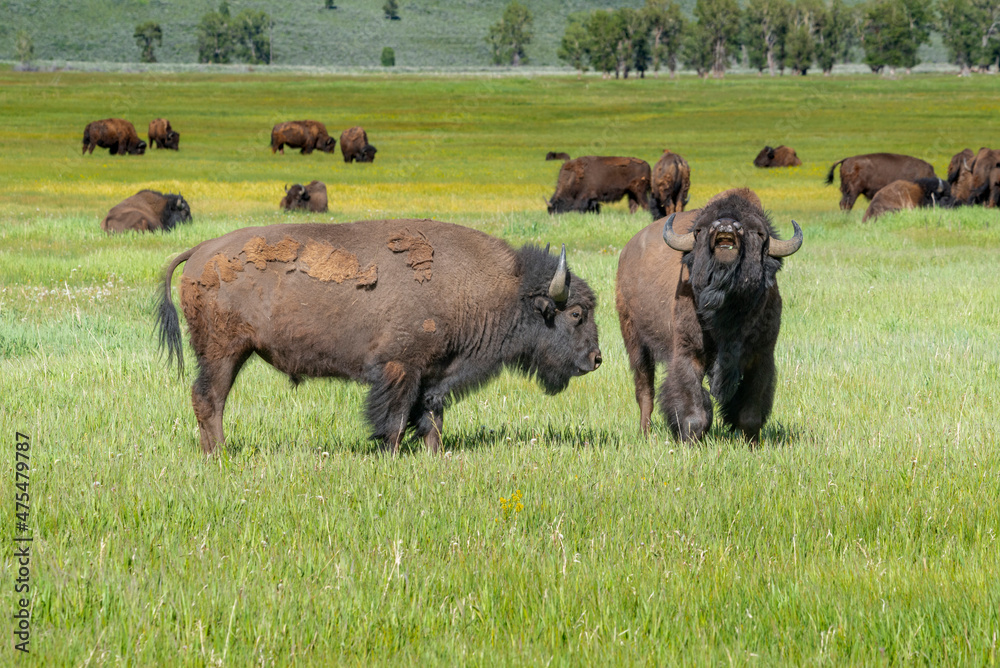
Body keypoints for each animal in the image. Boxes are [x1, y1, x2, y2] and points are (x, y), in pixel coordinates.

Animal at [152, 219, 596, 454]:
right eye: (576, 314)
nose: (596, 359)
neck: (502, 287)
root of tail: (200, 251)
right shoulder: (399, 367)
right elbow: (394, 418)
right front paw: (390, 453)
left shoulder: (434, 375)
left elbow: (431, 417)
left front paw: (433, 455)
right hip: (223, 352)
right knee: (209, 398)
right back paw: (219, 454)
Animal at [612, 188, 800, 444]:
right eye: (699, 230)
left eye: (759, 233)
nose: (726, 226)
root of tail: (626, 253)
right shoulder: (687, 353)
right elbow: (693, 410)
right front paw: (689, 441)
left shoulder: (761, 356)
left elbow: (750, 412)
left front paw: (750, 443)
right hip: (635, 342)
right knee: (645, 391)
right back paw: (644, 433)